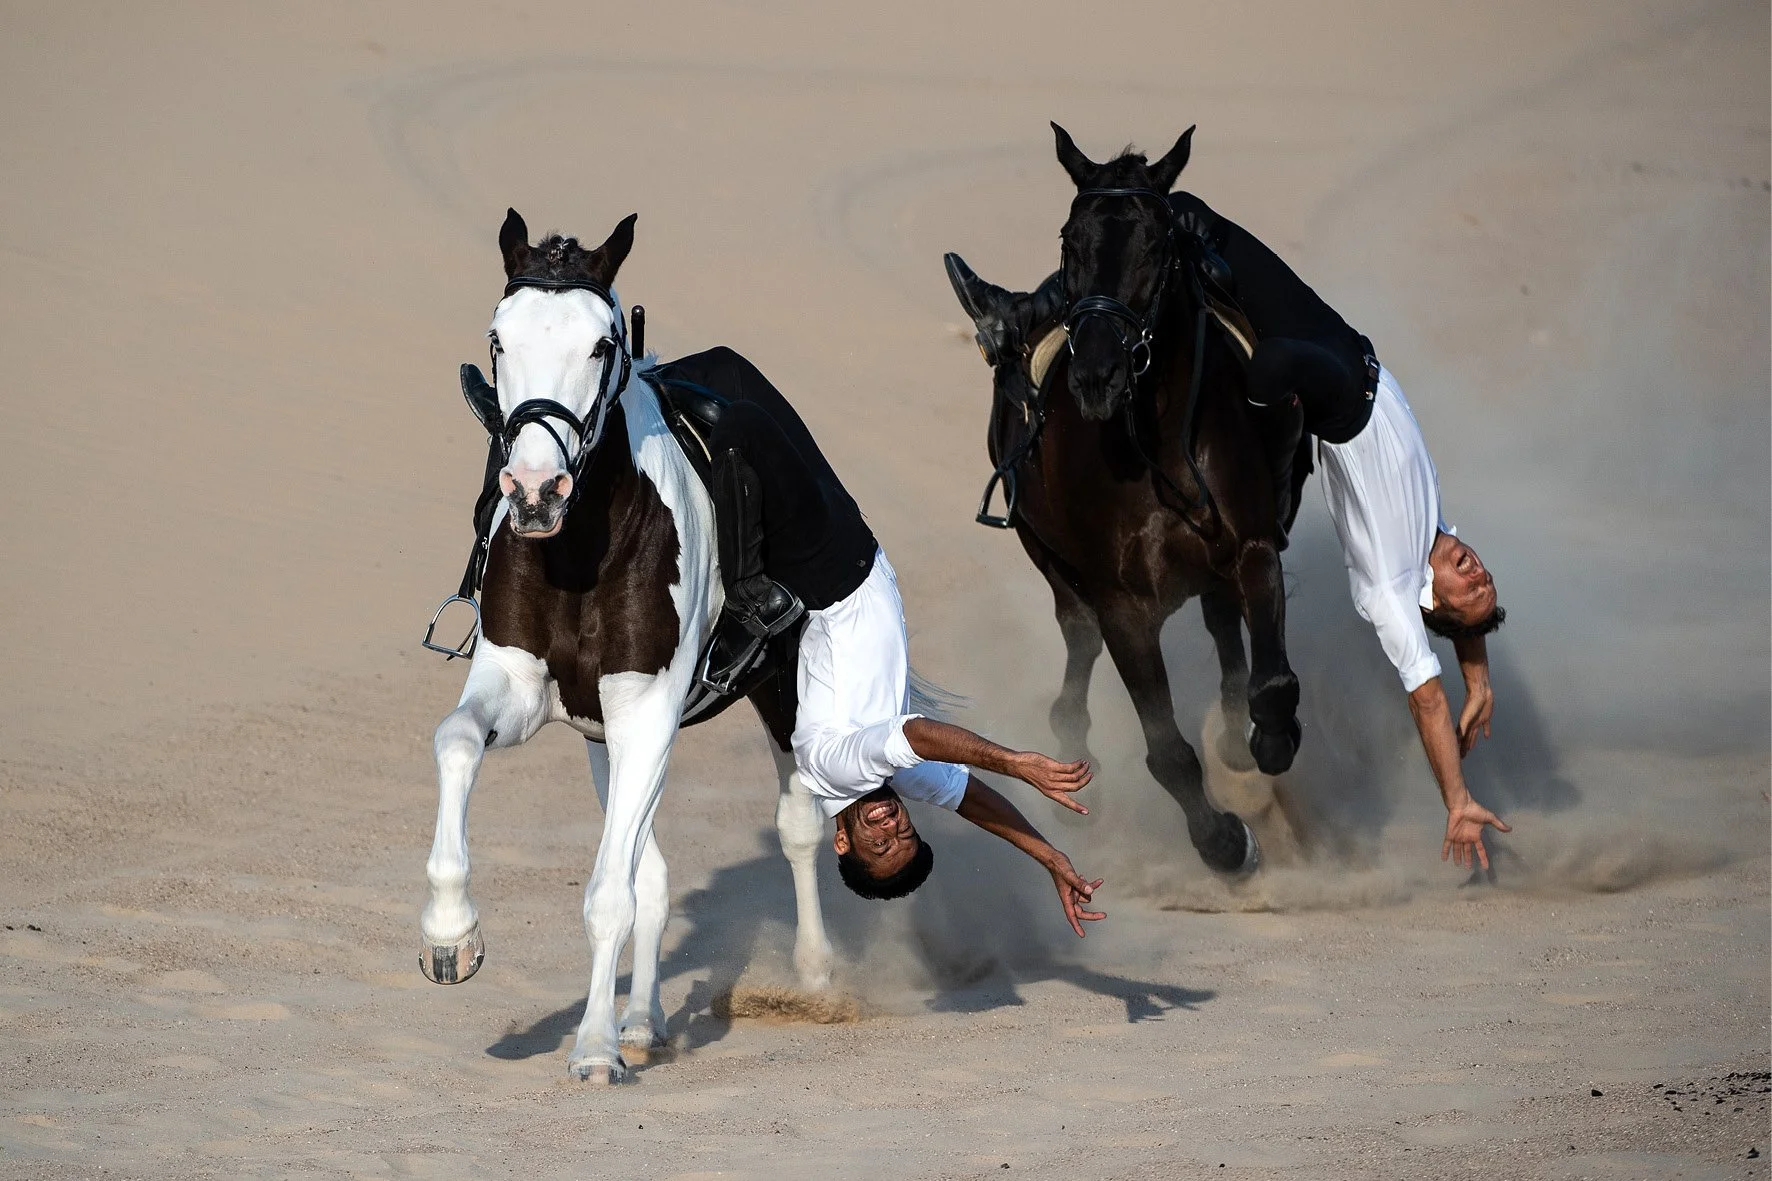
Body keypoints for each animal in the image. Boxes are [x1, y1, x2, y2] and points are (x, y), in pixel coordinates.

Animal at [417, 208, 834, 1084]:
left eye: (601, 343)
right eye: (498, 337)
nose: (534, 491)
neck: (581, 551)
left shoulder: (647, 709)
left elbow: (609, 891)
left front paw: (594, 1047)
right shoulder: (525, 689)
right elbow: (457, 742)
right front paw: (450, 933)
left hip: (775, 685)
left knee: (799, 821)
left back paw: (816, 977)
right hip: (605, 737)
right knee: (656, 867)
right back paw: (643, 1018)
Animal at [940, 124, 1301, 874]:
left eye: (1158, 245)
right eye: (1068, 241)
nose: (1097, 374)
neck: (1155, 449)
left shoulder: (1252, 545)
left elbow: (1269, 680)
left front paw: (1266, 740)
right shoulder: (1122, 603)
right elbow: (1167, 752)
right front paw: (1225, 841)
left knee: (1223, 628)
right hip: (1050, 556)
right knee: (1076, 646)